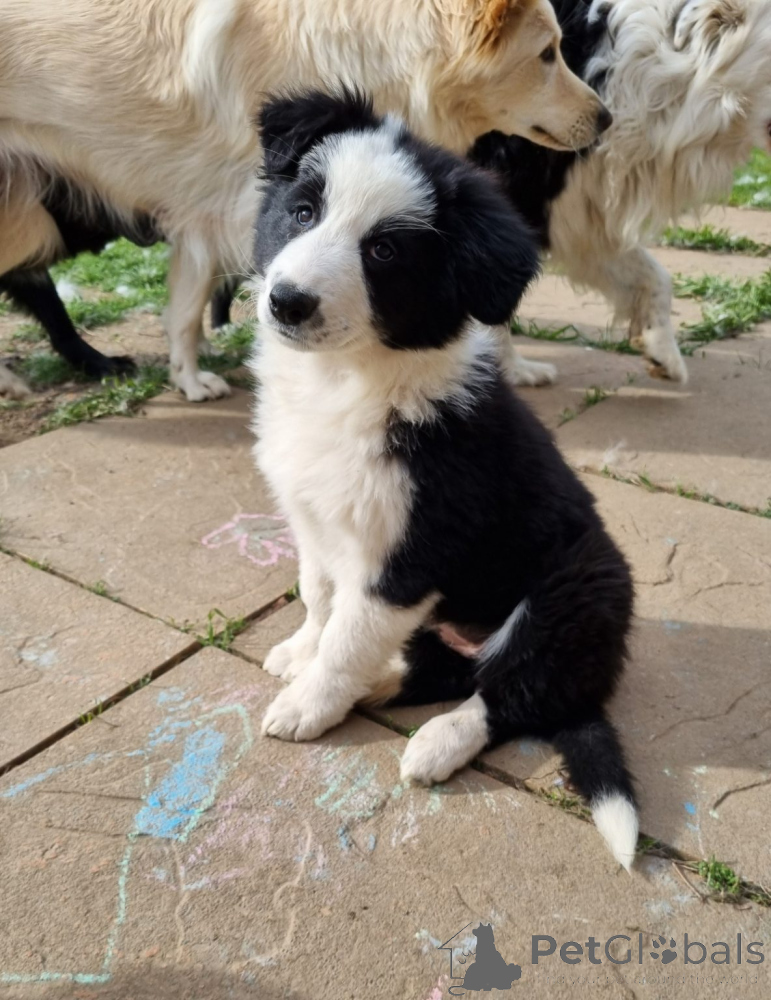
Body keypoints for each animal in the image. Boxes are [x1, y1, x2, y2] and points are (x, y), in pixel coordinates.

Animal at [0, 0, 609, 402]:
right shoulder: (236, 215)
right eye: (548, 54)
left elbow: (184, 309)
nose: (606, 119)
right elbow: (191, 311)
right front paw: (193, 380)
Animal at [250, 89, 638, 870]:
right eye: (303, 212)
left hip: (574, 592)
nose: (287, 301)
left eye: (384, 251)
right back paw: (382, 683)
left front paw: (310, 703)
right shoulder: (313, 518)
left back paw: (437, 742)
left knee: (515, 691)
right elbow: (320, 599)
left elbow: (349, 633)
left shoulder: (412, 551)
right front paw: (301, 655)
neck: (343, 384)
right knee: (456, 671)